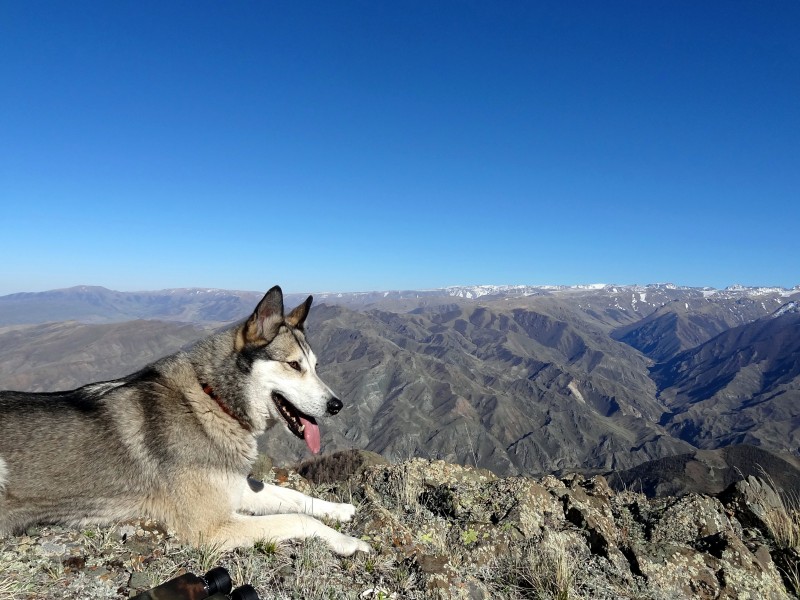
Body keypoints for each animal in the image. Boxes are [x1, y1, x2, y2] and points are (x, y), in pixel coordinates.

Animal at [0, 288, 370, 556]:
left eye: (316, 366)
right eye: (294, 365)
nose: (337, 406)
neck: (214, 402)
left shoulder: (233, 488)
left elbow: (291, 496)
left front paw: (338, 509)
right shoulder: (211, 525)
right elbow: (296, 518)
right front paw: (348, 542)